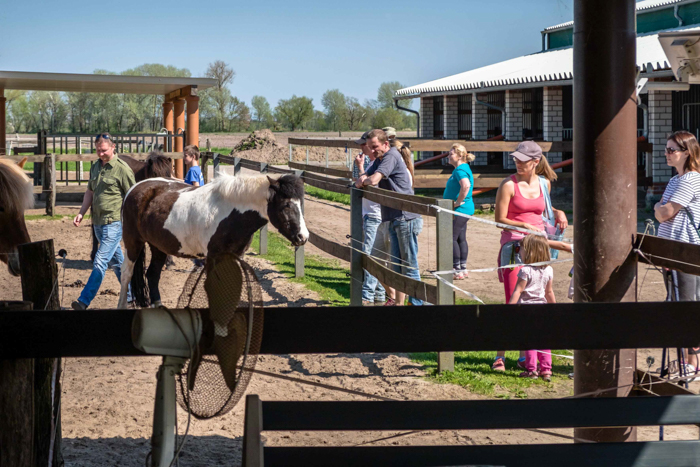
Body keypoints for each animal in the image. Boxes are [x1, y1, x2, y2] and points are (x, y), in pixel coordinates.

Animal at [119, 174, 308, 308]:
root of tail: (136, 188)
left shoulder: (236, 256)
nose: (303, 237)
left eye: (300, 204)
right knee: (126, 274)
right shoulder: (212, 257)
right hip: (132, 242)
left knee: (152, 274)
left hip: (158, 246)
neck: (230, 215)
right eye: (286, 205)